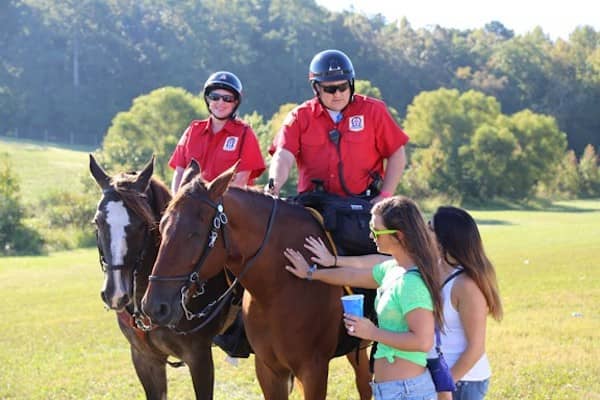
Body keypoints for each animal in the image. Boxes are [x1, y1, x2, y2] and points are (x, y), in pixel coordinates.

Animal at [142, 162, 372, 400]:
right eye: (161, 228)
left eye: (194, 234)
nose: (154, 306)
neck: (278, 287)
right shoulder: (268, 370)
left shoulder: (314, 370)